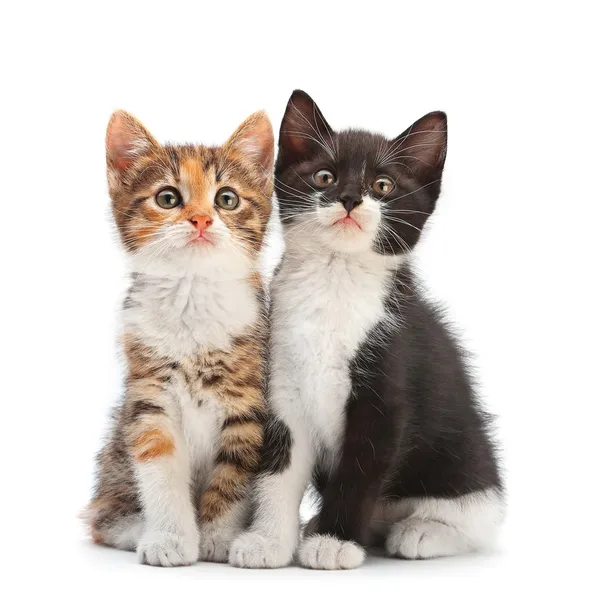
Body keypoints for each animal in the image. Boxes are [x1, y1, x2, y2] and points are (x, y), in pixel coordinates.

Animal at [82, 109, 274, 568]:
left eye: (227, 199)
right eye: (168, 198)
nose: (201, 219)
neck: (193, 294)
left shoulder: (248, 404)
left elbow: (234, 473)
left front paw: (219, 536)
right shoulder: (149, 398)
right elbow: (160, 470)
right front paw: (170, 537)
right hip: (114, 452)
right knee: (101, 515)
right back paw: (134, 528)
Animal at [230, 90, 502, 572]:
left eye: (383, 186)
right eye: (324, 176)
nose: (350, 198)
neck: (335, 279)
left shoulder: (388, 390)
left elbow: (360, 472)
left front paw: (335, 543)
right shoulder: (282, 387)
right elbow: (278, 471)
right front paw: (268, 541)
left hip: (463, 461)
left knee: (478, 517)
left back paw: (422, 532)